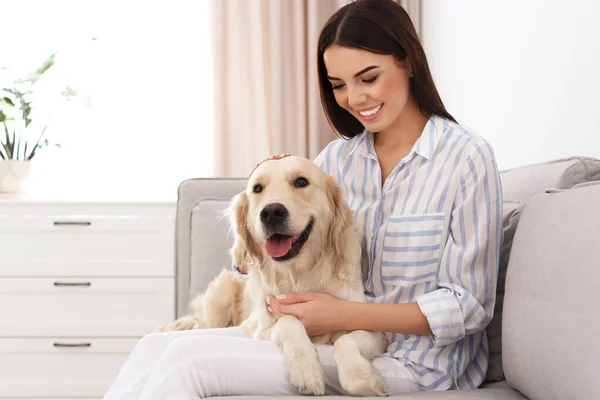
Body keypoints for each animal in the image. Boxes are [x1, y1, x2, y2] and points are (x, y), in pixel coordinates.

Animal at [159, 156, 386, 396]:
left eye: (301, 181)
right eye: (257, 188)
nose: (271, 212)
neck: (299, 274)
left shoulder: (377, 333)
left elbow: (345, 339)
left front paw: (360, 377)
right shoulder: (262, 328)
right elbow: (288, 321)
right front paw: (306, 369)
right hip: (220, 298)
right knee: (200, 321)